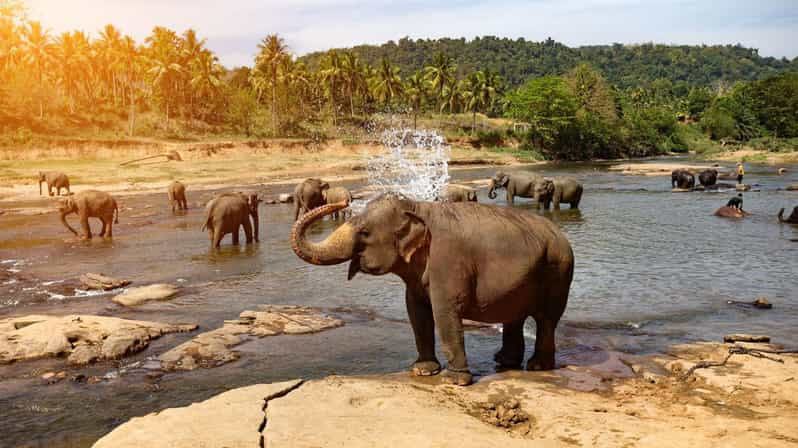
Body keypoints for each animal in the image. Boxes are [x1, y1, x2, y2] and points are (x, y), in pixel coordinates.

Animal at [290, 192, 580, 384]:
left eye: (364, 232)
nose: (344, 201)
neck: (417, 208)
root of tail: (561, 235)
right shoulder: (416, 277)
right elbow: (416, 312)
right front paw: (423, 371)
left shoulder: (448, 260)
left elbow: (444, 311)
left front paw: (455, 381)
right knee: (515, 317)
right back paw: (505, 361)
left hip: (558, 270)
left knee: (546, 319)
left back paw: (537, 367)